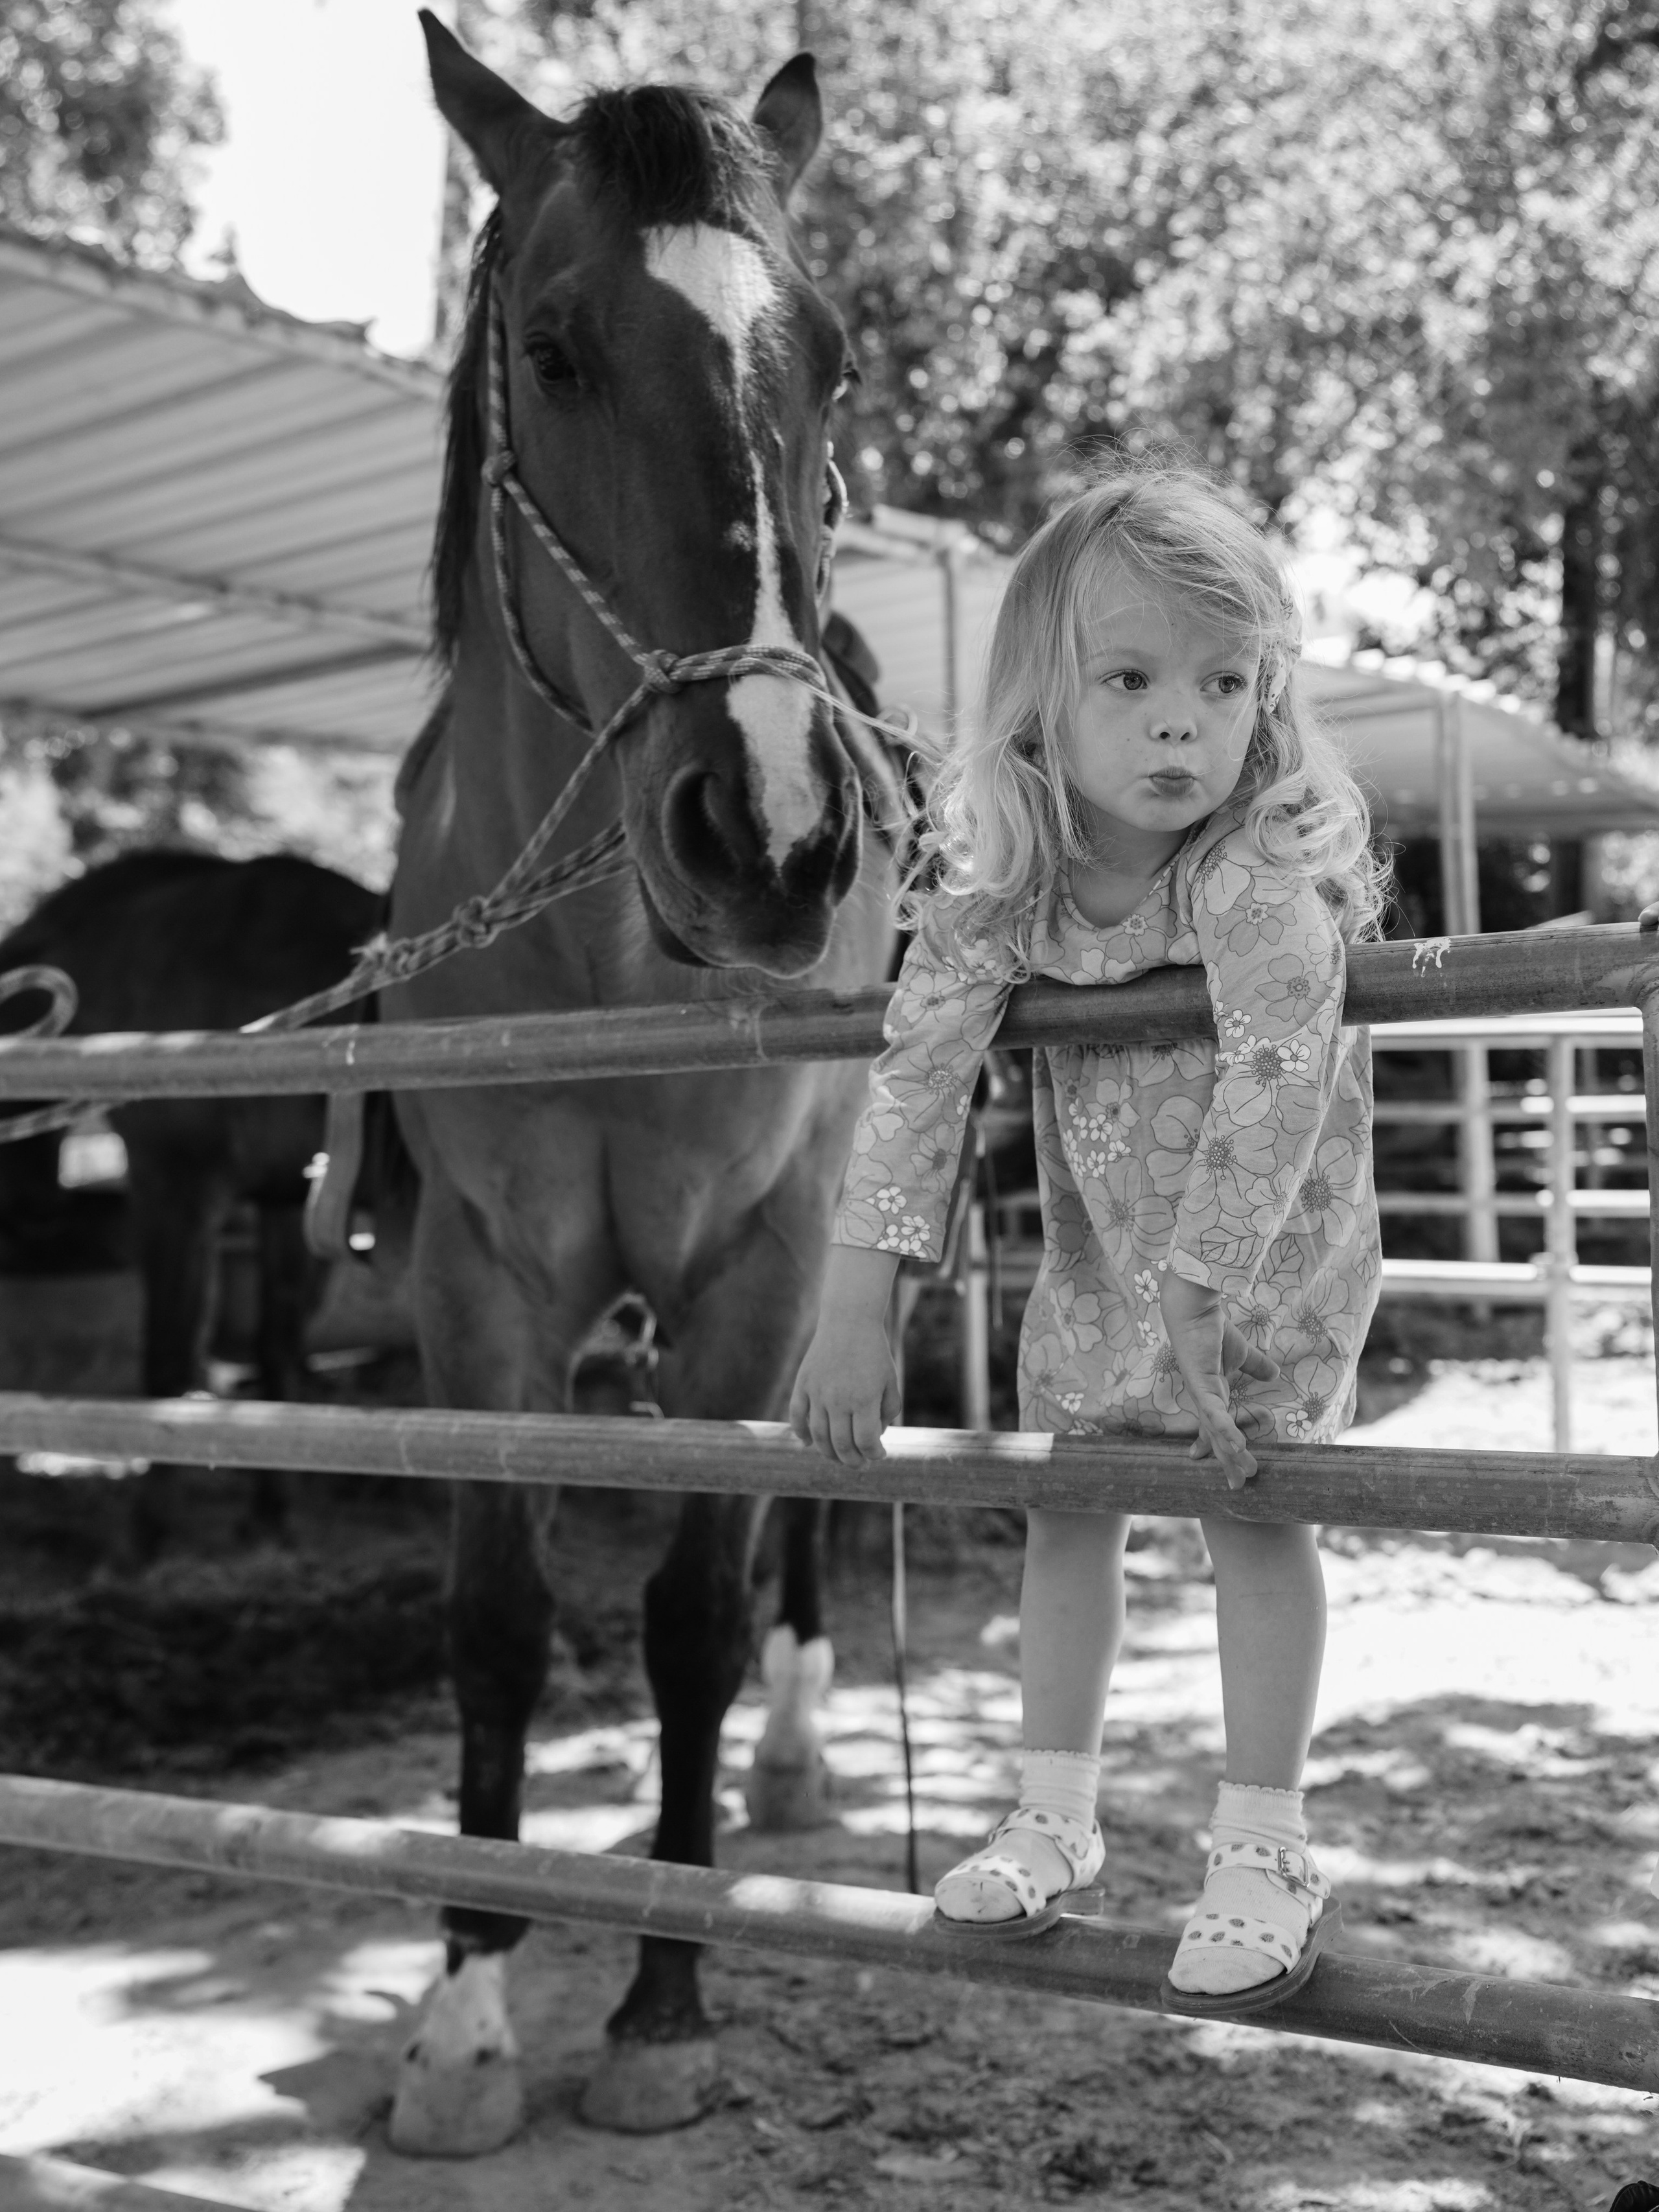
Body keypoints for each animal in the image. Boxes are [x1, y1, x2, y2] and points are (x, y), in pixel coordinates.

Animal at [0, 848, 385, 1556]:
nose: (34, 1208)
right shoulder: (286, 1200)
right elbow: (276, 1349)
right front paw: (270, 1514)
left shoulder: (175, 1187)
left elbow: (169, 1355)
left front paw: (147, 1534)